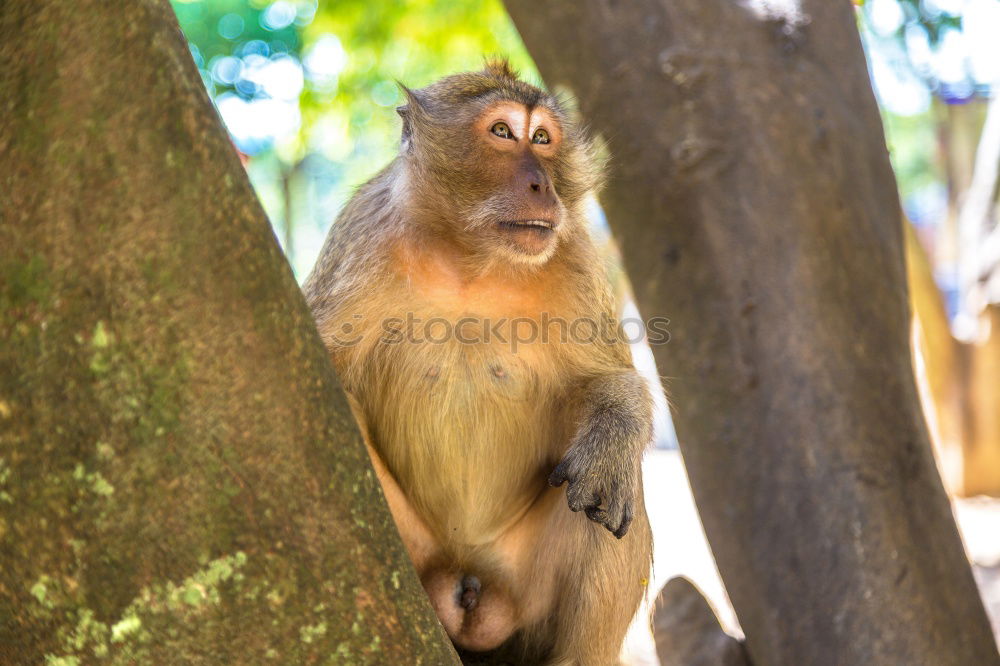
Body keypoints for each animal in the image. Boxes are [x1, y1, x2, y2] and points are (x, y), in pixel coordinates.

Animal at [304, 62, 656, 664]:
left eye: (543, 139)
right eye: (502, 132)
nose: (542, 184)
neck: (472, 259)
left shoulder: (575, 255)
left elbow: (609, 380)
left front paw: (615, 430)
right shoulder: (362, 235)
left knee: (610, 496)